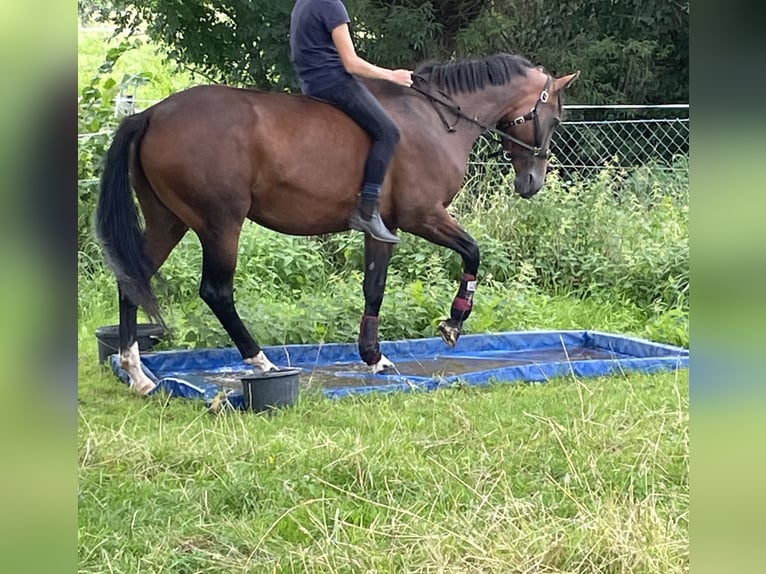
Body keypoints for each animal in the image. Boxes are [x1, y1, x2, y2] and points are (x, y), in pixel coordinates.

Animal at [96, 53, 580, 396]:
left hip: (169, 220)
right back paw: (261, 361)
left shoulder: (383, 228)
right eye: (555, 118)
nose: (533, 182)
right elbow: (473, 252)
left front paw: (373, 358)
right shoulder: (423, 216)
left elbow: (374, 287)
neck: (437, 119)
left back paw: (138, 373)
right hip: (221, 224)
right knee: (216, 292)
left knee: (132, 279)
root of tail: (153, 114)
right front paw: (453, 324)